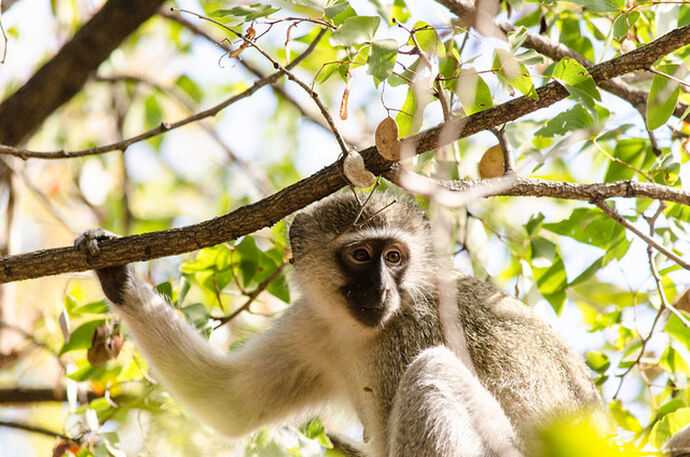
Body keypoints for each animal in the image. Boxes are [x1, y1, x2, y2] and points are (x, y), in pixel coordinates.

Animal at [76, 191, 596, 456]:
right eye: (361, 255)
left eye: (394, 257)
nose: (381, 290)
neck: (370, 329)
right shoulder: (314, 329)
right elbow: (229, 400)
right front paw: (117, 276)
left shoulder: (413, 330)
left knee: (431, 373)